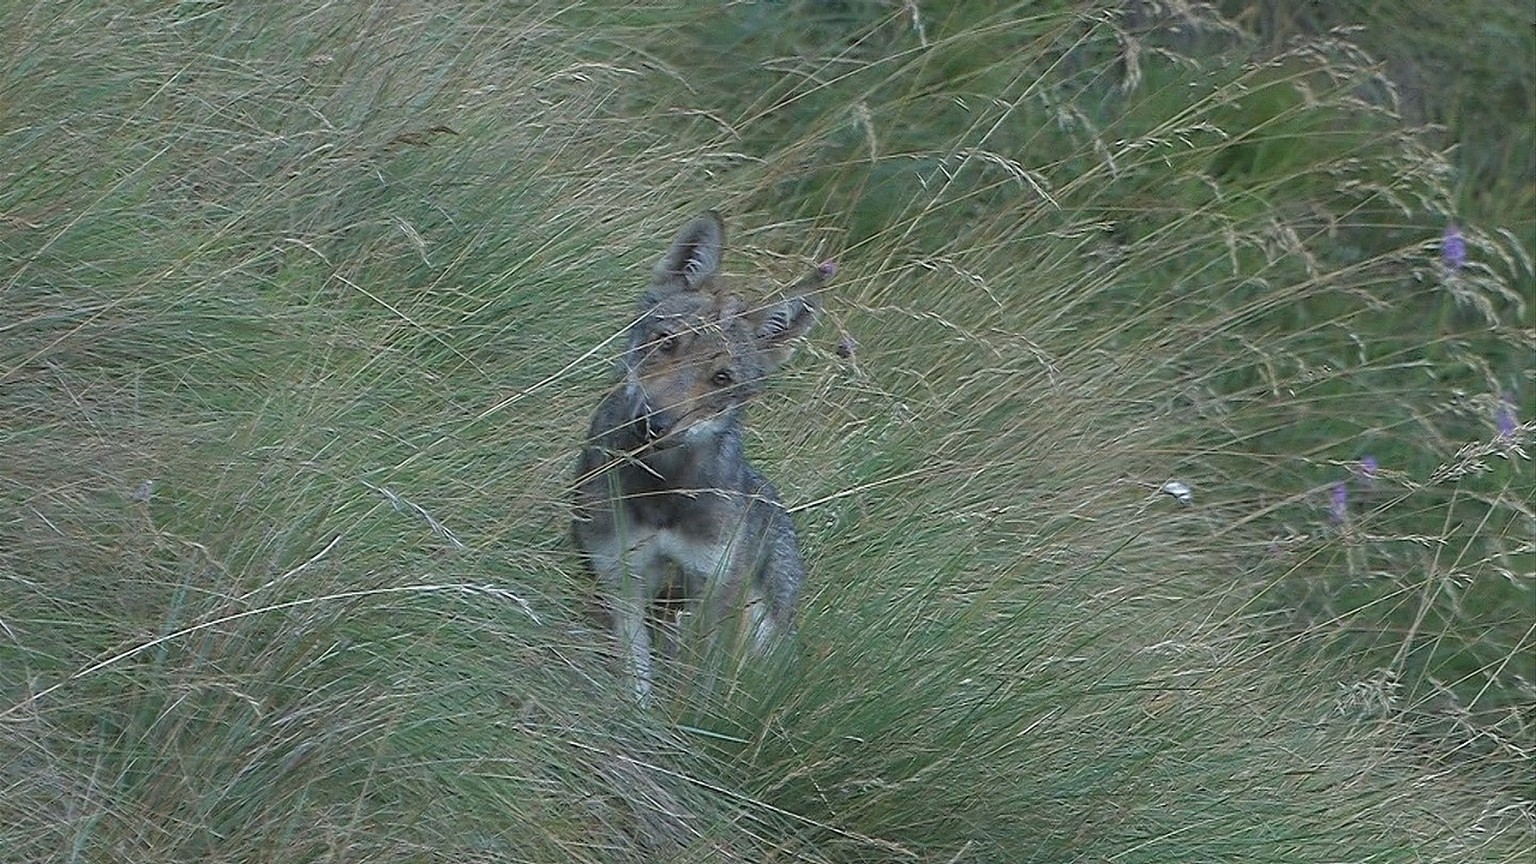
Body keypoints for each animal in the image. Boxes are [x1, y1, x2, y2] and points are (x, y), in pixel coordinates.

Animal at [571, 209, 829, 701]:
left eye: (721, 379)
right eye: (666, 342)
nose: (653, 423)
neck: (662, 494)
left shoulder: (713, 590)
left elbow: (700, 680)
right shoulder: (622, 575)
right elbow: (638, 678)